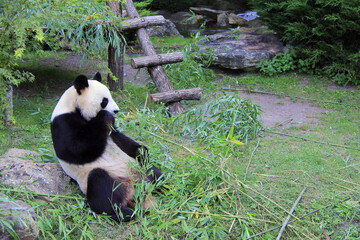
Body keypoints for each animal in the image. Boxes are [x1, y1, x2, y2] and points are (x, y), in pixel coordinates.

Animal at [50, 72, 162, 222]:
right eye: (105, 100)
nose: (116, 111)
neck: (73, 106)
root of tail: (135, 191)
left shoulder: (111, 131)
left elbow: (118, 137)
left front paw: (141, 150)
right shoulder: (63, 123)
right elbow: (76, 148)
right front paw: (105, 115)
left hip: (137, 168)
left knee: (154, 172)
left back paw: (164, 185)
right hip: (102, 178)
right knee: (101, 190)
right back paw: (123, 213)